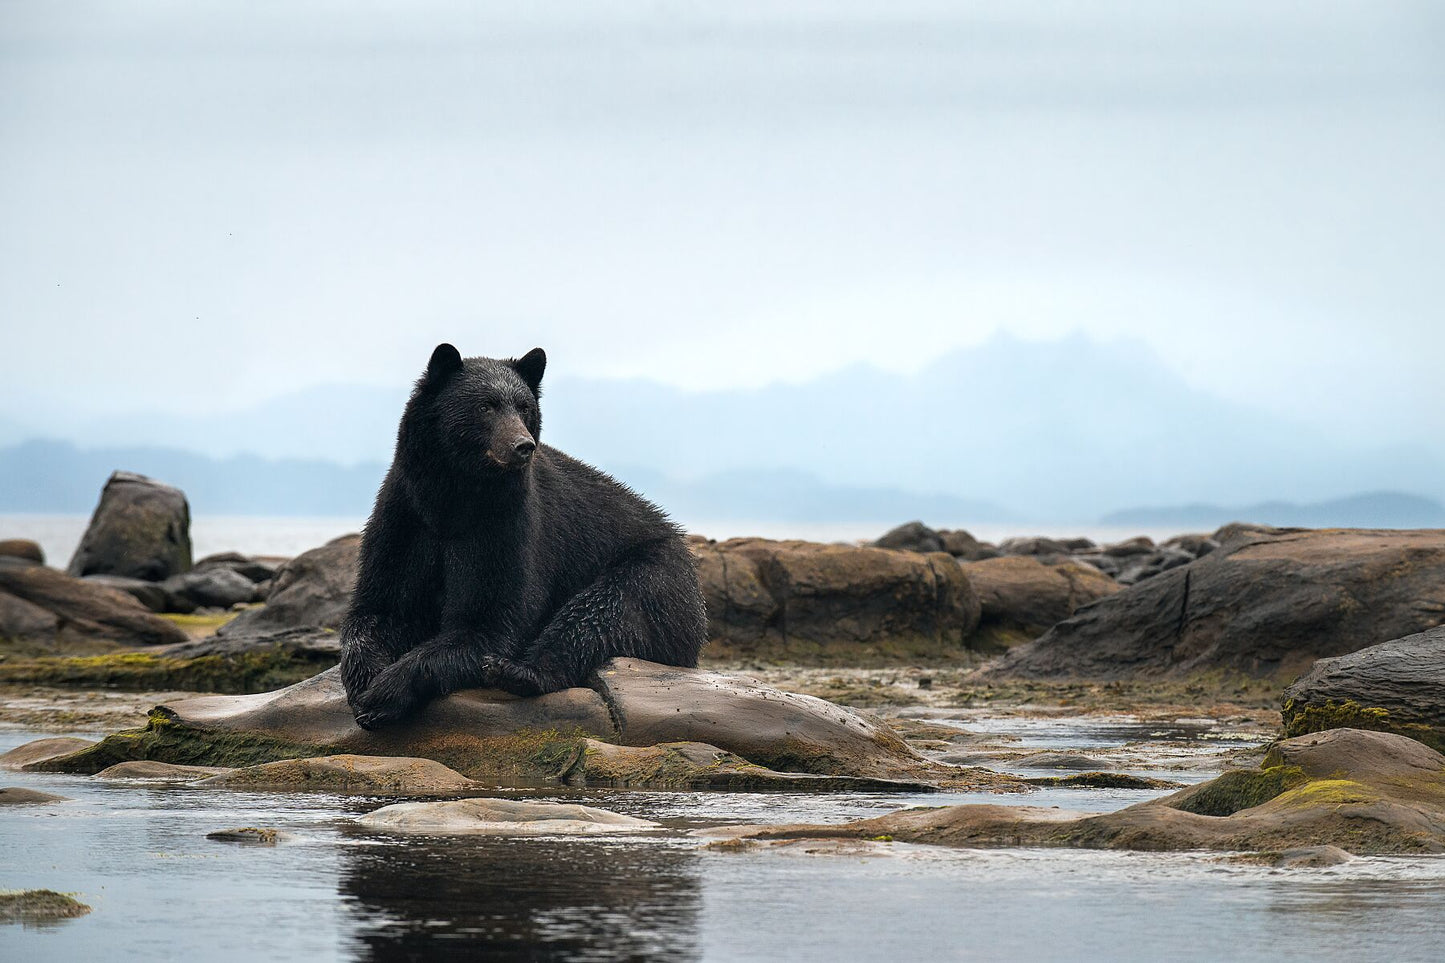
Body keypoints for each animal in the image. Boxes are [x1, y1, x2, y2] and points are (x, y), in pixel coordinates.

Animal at [333, 345, 705, 728]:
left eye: (524, 406)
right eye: (485, 406)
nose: (522, 445)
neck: (452, 499)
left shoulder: (506, 522)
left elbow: (490, 620)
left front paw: (385, 691)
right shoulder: (406, 517)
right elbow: (383, 606)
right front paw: (365, 680)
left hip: (655, 574)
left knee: (604, 609)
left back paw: (518, 671)